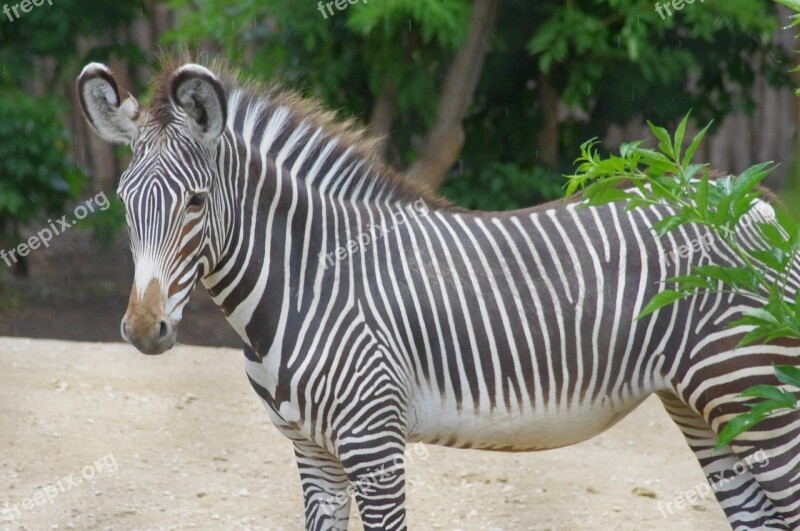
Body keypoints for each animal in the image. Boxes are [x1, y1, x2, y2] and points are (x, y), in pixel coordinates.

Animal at [76, 60, 800, 528]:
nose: (142, 330)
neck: (308, 278)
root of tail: (754, 200)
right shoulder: (311, 451)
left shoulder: (373, 442)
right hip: (702, 404)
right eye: (124, 204)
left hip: (757, 395)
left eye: (196, 203)